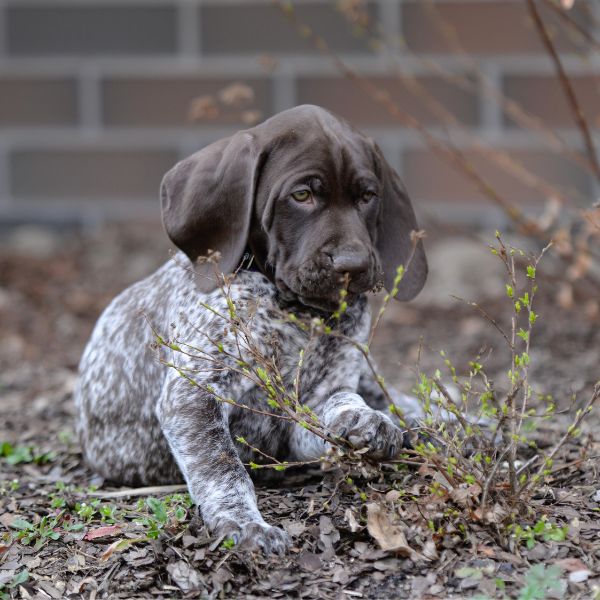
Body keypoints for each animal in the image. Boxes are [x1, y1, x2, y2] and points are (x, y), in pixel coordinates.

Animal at [75, 105, 426, 556]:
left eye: (367, 197)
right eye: (301, 196)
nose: (354, 264)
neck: (299, 314)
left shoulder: (312, 406)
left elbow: (341, 400)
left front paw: (363, 419)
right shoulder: (193, 397)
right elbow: (223, 467)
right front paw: (244, 523)